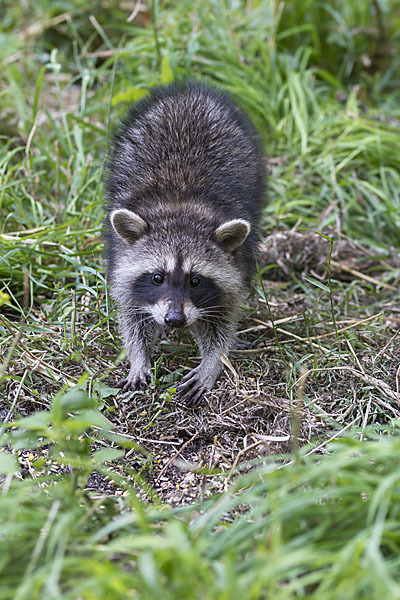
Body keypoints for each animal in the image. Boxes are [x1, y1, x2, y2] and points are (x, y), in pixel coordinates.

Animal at [104, 79, 266, 406]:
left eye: (195, 280)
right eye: (157, 277)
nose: (175, 320)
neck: (181, 213)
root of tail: (191, 93)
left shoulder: (236, 265)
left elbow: (222, 320)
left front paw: (212, 363)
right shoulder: (122, 260)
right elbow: (131, 315)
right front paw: (138, 357)